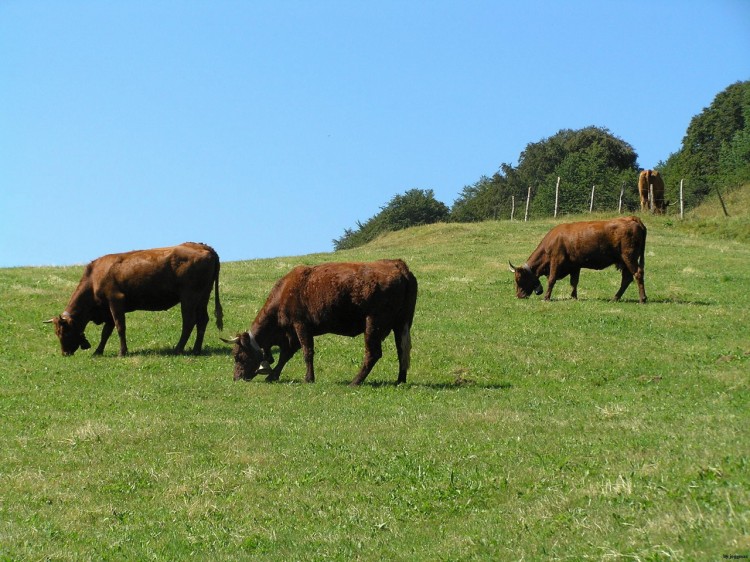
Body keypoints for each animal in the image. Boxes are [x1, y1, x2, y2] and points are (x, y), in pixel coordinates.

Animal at [44, 241, 223, 354]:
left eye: (64, 332)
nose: (65, 353)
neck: (94, 277)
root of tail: (204, 247)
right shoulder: (107, 309)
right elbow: (106, 332)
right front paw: (98, 351)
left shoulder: (115, 301)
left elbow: (119, 327)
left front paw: (122, 352)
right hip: (203, 297)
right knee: (202, 320)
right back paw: (196, 349)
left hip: (189, 297)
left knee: (189, 321)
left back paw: (178, 348)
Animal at [226, 260, 420, 384]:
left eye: (237, 355)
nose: (236, 378)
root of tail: (397, 264)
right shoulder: (291, 335)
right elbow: (285, 355)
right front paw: (273, 375)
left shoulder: (301, 325)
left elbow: (307, 352)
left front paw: (308, 379)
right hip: (402, 323)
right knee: (402, 350)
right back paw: (400, 379)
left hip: (373, 323)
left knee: (373, 353)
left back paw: (355, 381)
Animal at [512, 215, 652, 302]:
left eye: (519, 279)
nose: (518, 296)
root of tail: (632, 218)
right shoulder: (575, 265)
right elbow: (574, 282)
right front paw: (574, 297)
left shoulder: (556, 261)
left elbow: (551, 279)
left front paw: (546, 297)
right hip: (624, 261)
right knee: (627, 279)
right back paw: (615, 298)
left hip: (629, 257)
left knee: (638, 274)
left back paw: (642, 299)